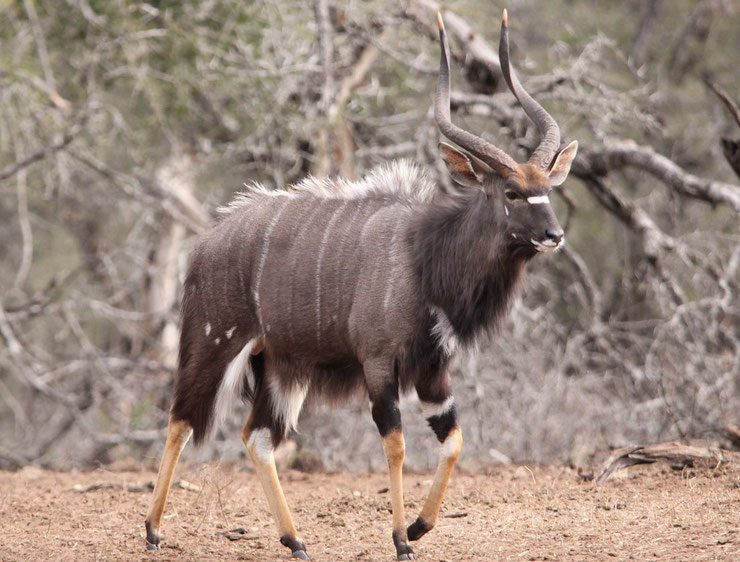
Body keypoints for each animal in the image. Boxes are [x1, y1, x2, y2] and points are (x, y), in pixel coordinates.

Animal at [145, 9, 580, 560]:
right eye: (512, 192)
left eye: (548, 188)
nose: (554, 235)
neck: (425, 257)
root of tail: (205, 243)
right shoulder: (378, 362)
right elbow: (395, 442)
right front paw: (400, 539)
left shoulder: (433, 369)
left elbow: (453, 439)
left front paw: (419, 525)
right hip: (213, 343)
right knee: (181, 419)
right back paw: (153, 529)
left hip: (281, 367)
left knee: (257, 436)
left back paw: (296, 540)